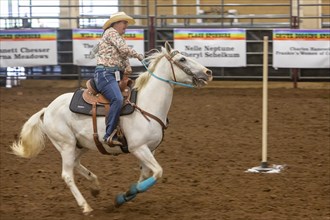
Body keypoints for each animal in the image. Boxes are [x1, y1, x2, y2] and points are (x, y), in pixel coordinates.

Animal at [10, 41, 214, 215]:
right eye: (182, 59)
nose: (208, 71)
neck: (147, 105)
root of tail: (47, 109)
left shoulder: (150, 150)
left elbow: (146, 174)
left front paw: (124, 196)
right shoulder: (138, 148)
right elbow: (158, 172)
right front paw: (127, 194)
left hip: (81, 145)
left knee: (76, 165)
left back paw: (95, 186)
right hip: (66, 145)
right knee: (67, 175)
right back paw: (85, 206)